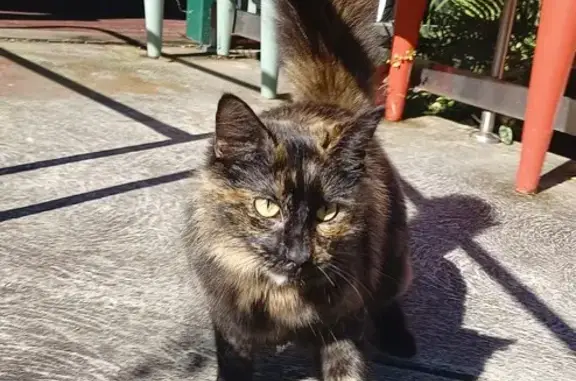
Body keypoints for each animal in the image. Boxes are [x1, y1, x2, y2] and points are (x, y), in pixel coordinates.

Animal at [187, 0, 416, 380]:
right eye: (267, 206)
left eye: (328, 213)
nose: (298, 255)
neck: (279, 299)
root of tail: (329, 107)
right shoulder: (231, 328)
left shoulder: (344, 324)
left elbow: (348, 369)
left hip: (392, 259)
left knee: (389, 298)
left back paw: (400, 340)